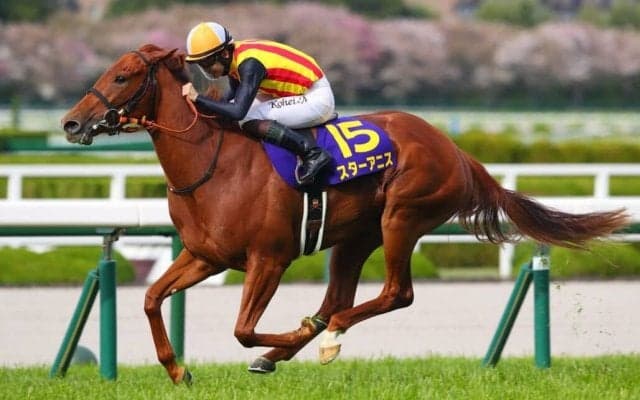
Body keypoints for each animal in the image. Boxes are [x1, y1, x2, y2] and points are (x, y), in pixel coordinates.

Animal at [62, 44, 629, 384]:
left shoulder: (269, 258)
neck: (211, 161)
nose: (70, 123)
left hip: (402, 217)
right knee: (340, 297)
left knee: (394, 294)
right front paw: (179, 371)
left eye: (123, 75)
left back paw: (325, 336)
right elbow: (152, 298)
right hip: (356, 236)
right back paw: (300, 342)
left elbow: (244, 328)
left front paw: (286, 339)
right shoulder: (206, 255)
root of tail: (454, 149)